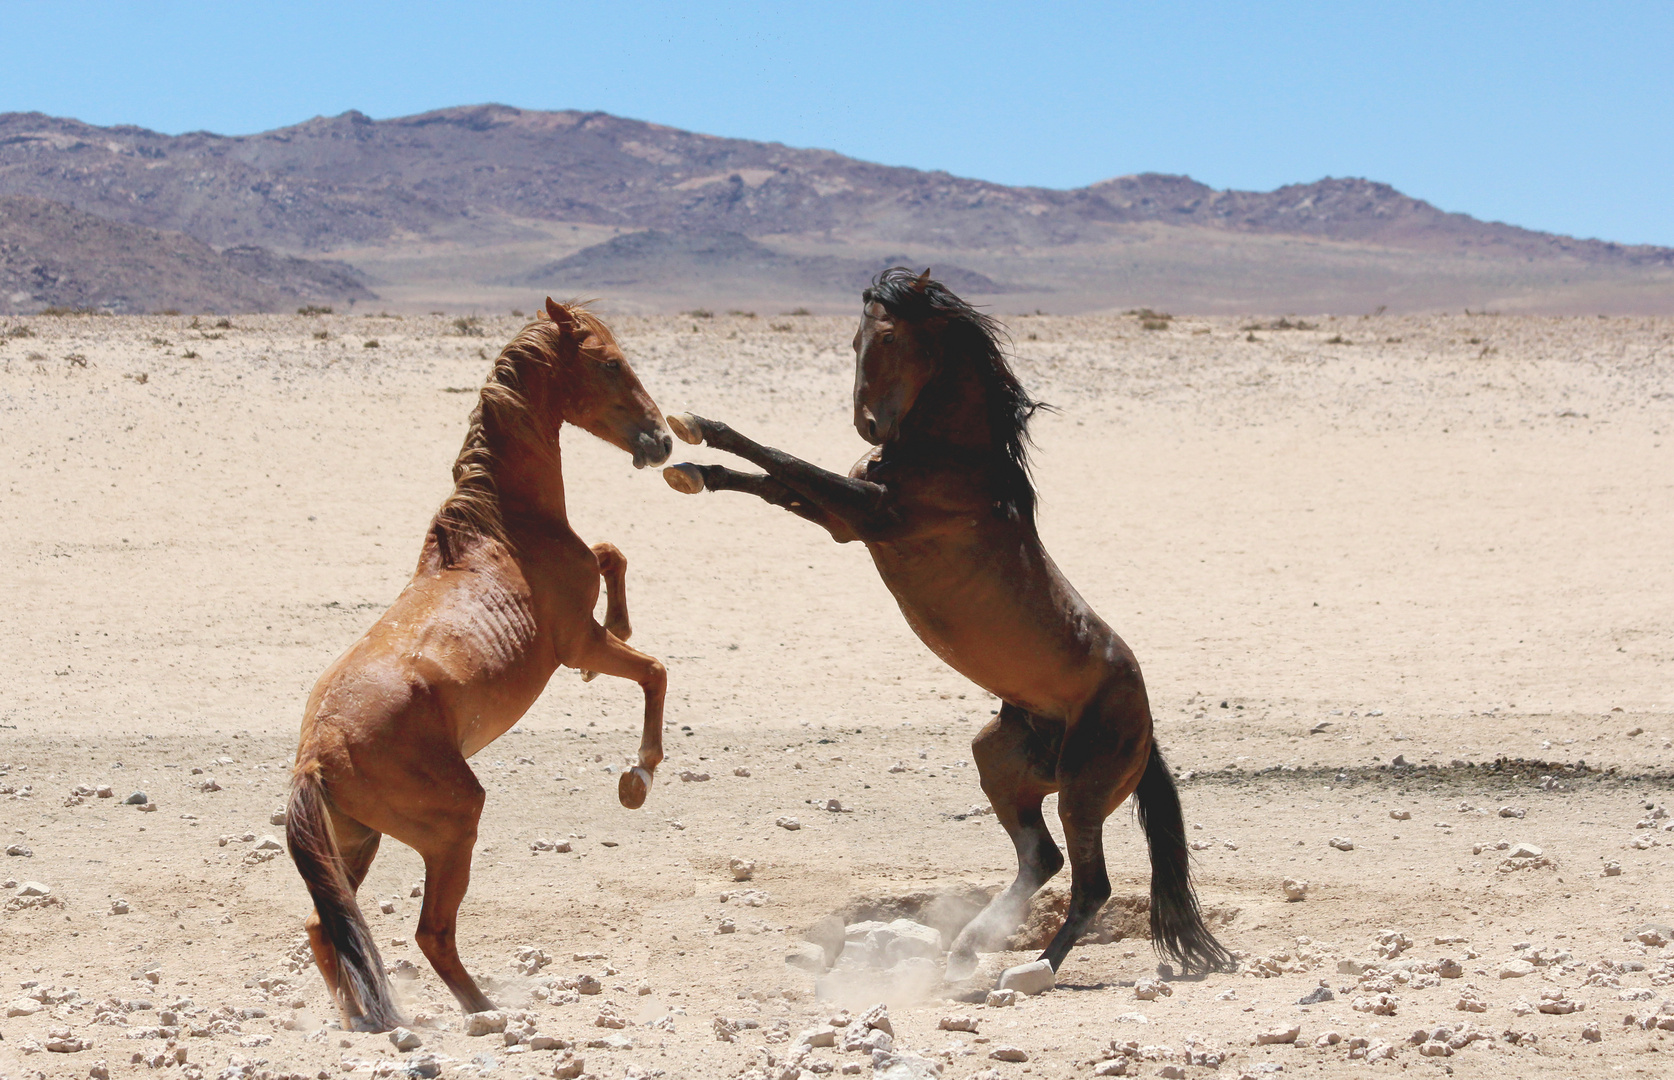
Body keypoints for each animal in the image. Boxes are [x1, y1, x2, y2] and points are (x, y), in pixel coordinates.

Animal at [289, 294, 672, 1024]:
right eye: (611, 363)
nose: (661, 440)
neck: (503, 527)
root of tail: (318, 754)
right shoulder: (576, 642)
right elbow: (654, 670)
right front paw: (637, 778)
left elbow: (611, 554)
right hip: (451, 827)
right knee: (429, 933)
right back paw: (483, 1011)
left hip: (355, 840)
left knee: (326, 928)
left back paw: (365, 1022)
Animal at [662, 267, 1232, 977]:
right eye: (853, 340)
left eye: (889, 338)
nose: (868, 426)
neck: (952, 458)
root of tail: (1147, 731)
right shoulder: (845, 521)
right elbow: (773, 480)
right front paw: (690, 469)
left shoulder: (870, 515)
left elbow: (781, 459)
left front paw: (694, 426)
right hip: (1001, 759)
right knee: (1041, 858)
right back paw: (967, 946)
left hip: (1082, 790)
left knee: (1090, 884)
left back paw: (1029, 971)